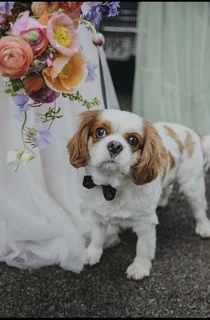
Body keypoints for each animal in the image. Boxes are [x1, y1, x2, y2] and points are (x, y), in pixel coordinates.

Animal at [66, 109, 210, 280]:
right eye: (100, 132)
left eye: (133, 140)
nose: (115, 146)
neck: (111, 187)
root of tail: (193, 133)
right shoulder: (98, 215)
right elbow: (97, 237)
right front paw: (92, 254)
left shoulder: (145, 223)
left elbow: (143, 248)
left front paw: (139, 268)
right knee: (168, 187)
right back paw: (161, 200)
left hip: (192, 185)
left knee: (199, 208)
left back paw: (203, 227)